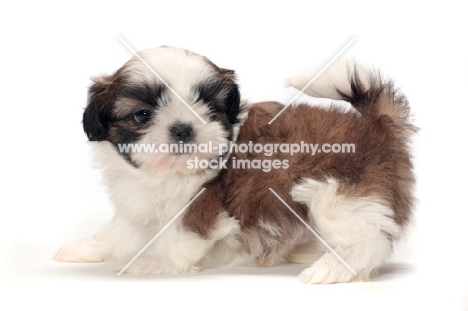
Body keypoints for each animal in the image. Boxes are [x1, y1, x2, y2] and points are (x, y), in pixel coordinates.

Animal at [54, 47, 416, 286]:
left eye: (209, 108)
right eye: (142, 115)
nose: (183, 128)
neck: (167, 173)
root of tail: (377, 125)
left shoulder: (202, 204)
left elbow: (179, 237)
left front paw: (154, 262)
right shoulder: (138, 201)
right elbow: (120, 230)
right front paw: (87, 248)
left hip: (338, 193)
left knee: (368, 239)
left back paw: (334, 268)